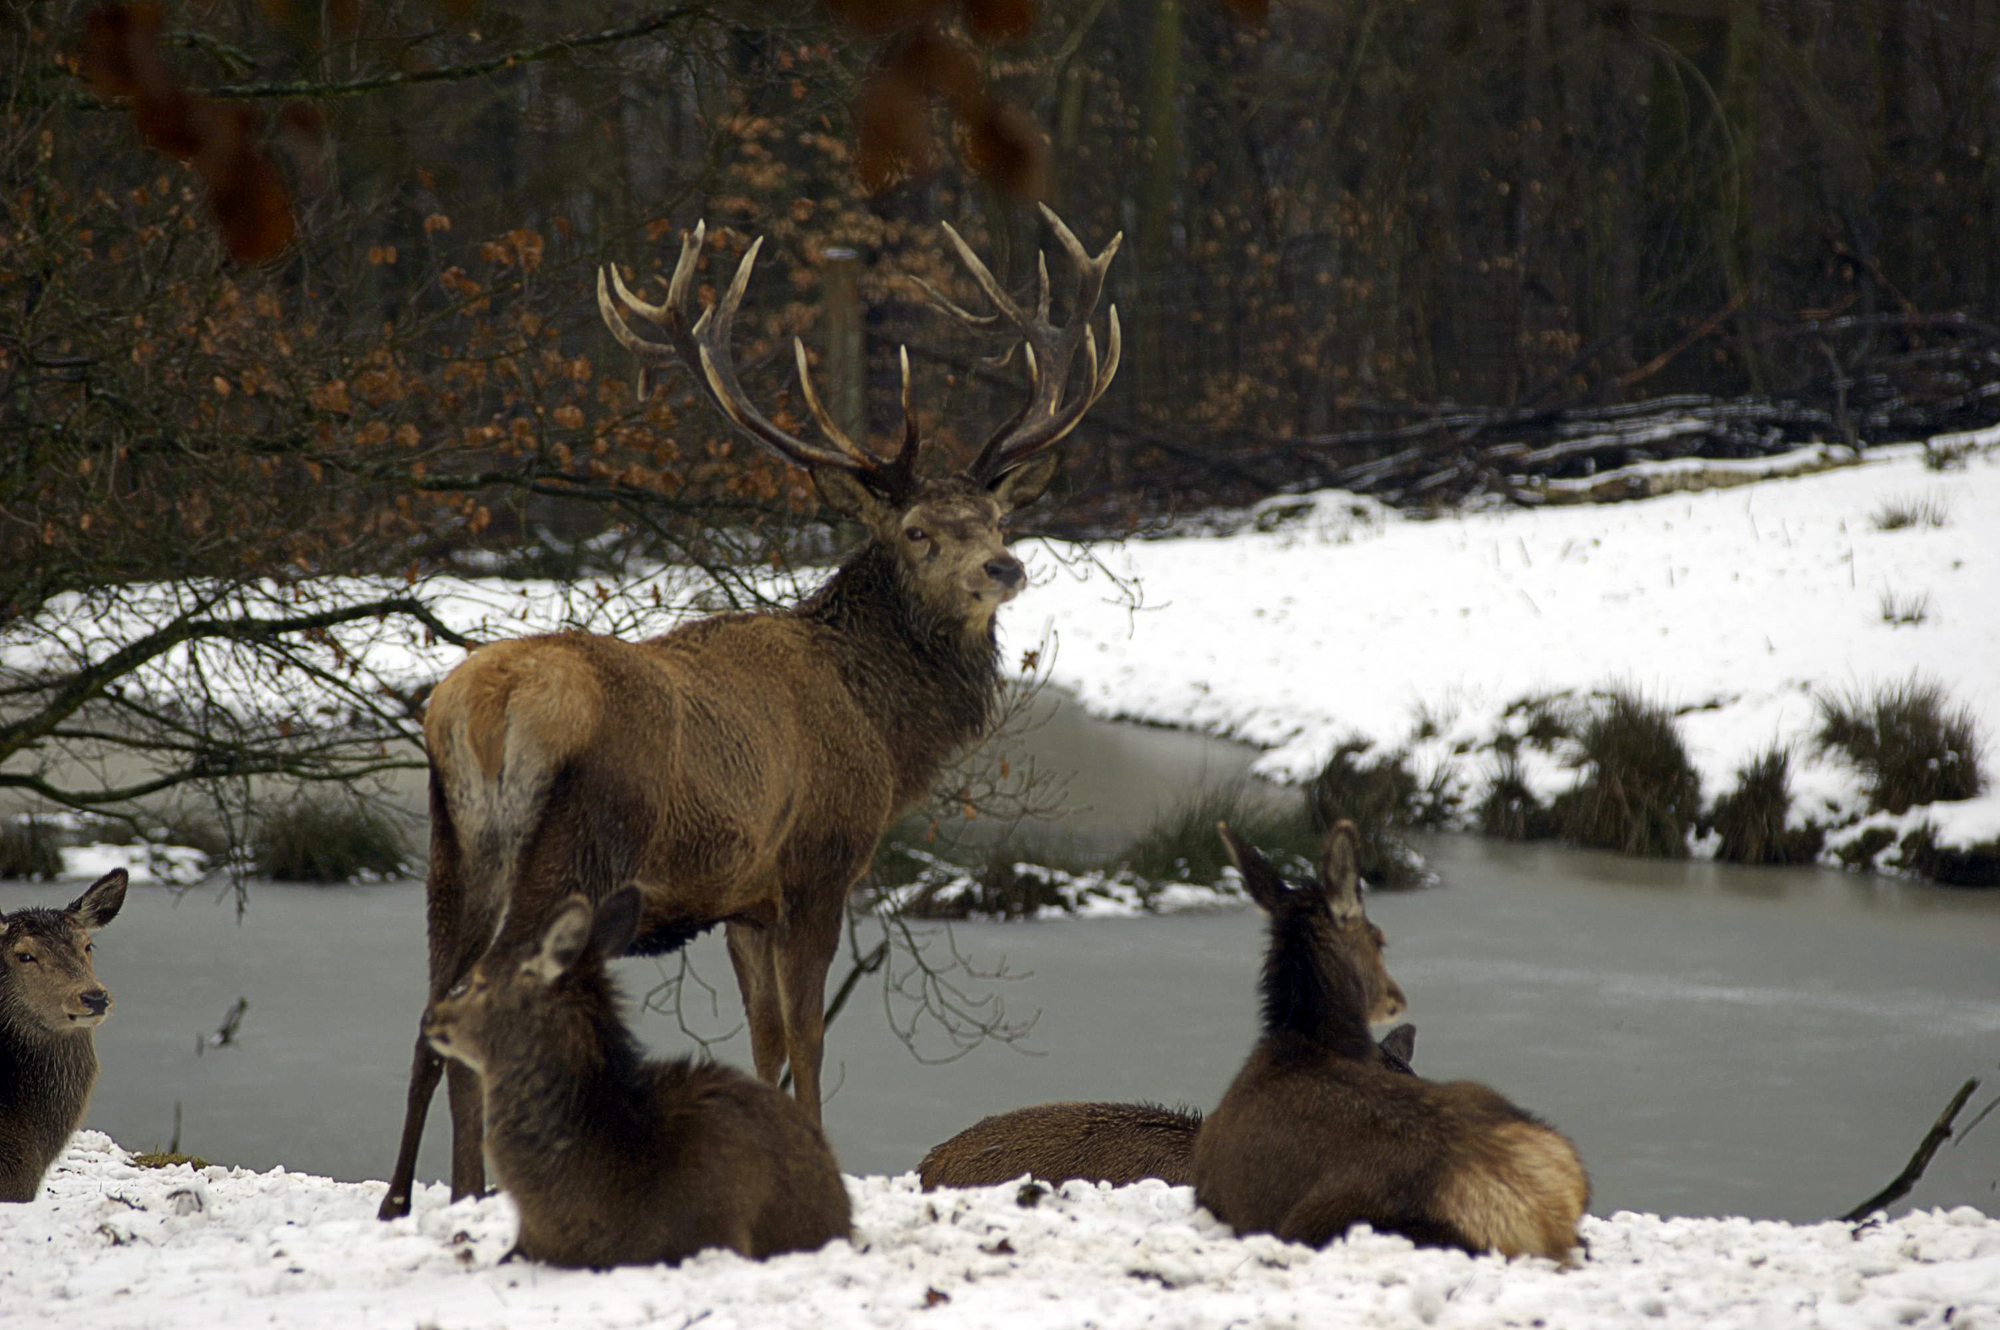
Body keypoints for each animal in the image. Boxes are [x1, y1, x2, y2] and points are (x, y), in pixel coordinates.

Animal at [377, 206, 1122, 1220]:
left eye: (997, 521)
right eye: (918, 531)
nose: (1004, 568)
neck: (882, 727)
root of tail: (482, 707)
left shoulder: (742, 898)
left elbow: (762, 1038)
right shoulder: (819, 860)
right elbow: (808, 1034)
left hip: (451, 848)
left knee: (432, 1008)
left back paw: (419, 1198)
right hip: (575, 847)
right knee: (484, 991)